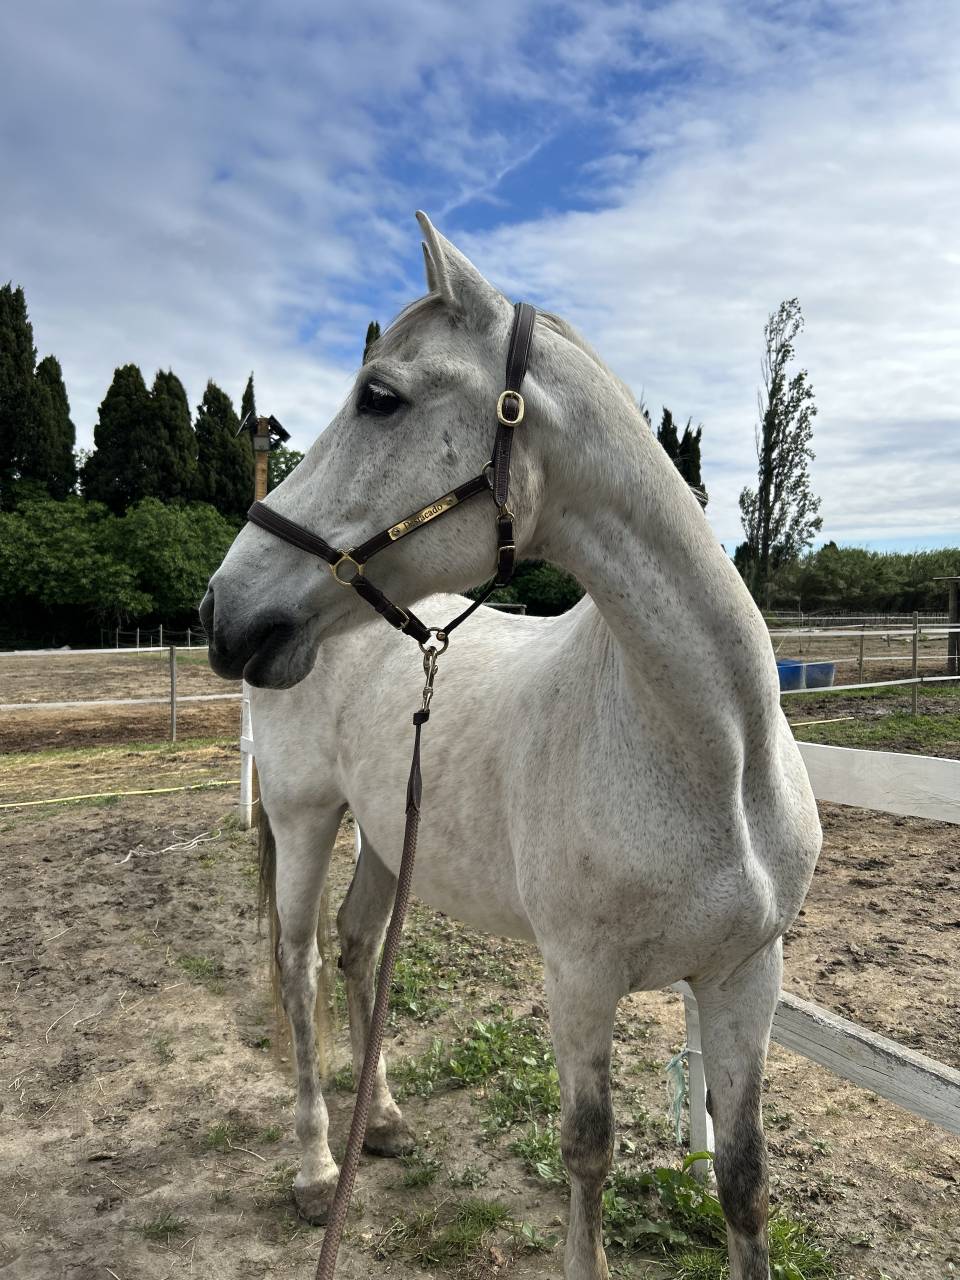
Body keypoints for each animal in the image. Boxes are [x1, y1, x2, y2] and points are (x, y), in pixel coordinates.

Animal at [200, 212, 822, 1280]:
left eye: (379, 397)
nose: (220, 608)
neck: (715, 755)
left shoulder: (746, 975)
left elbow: (744, 1179)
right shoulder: (579, 976)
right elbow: (588, 1150)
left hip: (385, 832)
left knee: (358, 946)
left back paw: (383, 1122)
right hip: (306, 817)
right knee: (299, 964)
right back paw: (318, 1166)